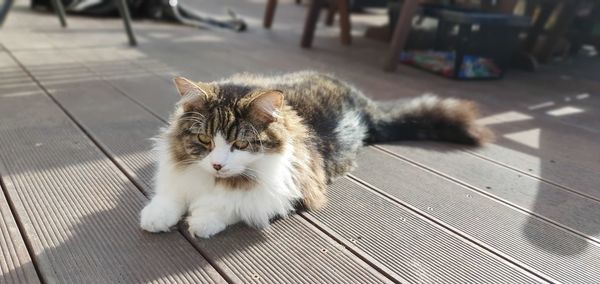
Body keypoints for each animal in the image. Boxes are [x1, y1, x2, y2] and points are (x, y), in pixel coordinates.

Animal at [141, 70, 492, 237]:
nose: (216, 165)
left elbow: (233, 205)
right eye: (203, 138)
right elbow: (171, 195)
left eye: (240, 144)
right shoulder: (179, 176)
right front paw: (156, 216)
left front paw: (203, 220)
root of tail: (361, 101)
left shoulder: (291, 187)